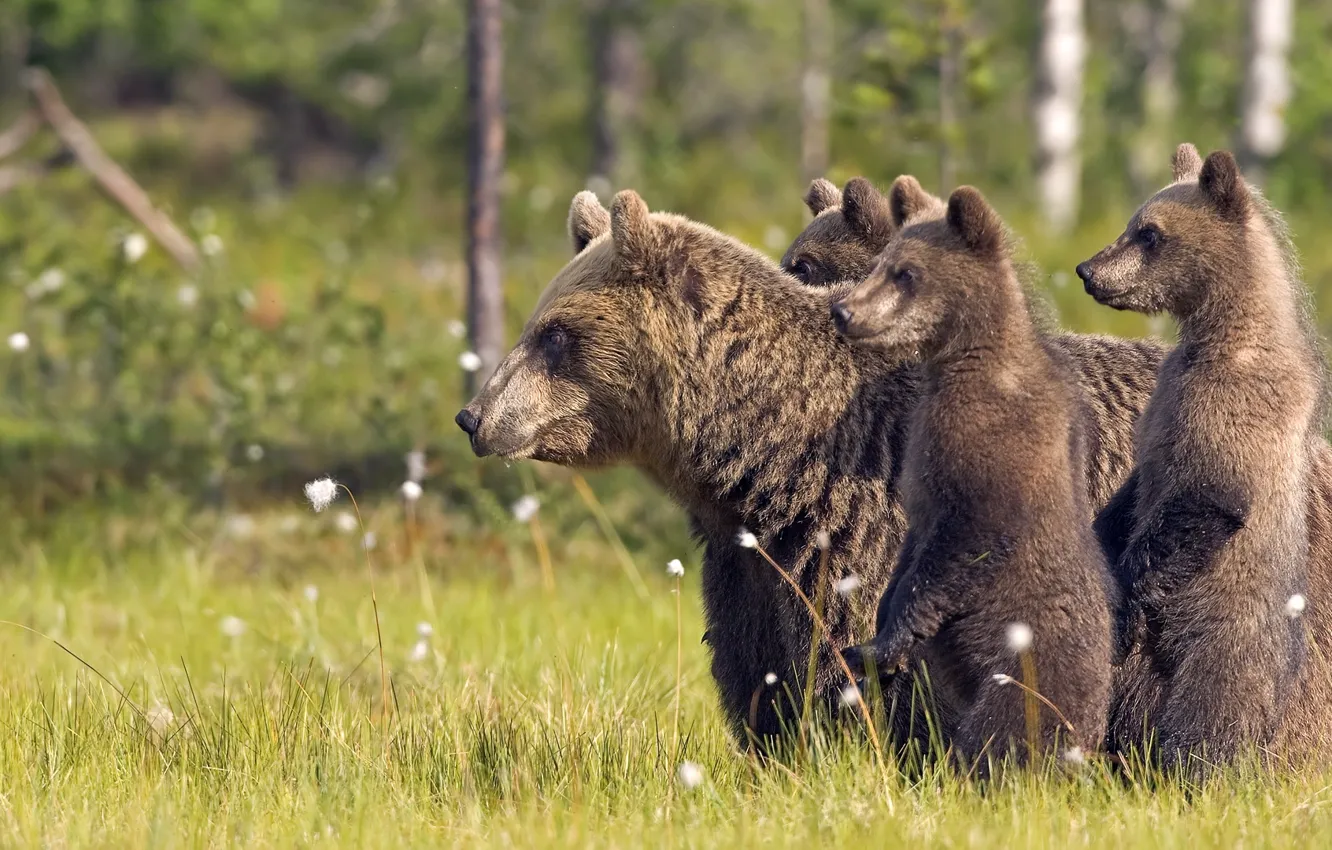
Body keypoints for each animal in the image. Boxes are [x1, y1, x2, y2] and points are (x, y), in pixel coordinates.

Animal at [458, 189, 921, 745]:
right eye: (535, 326)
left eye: (554, 335)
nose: (473, 417)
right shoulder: (746, 568)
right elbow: (755, 668)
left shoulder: (854, 525)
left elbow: (849, 649)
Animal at [839, 186, 1115, 771]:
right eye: (880, 263)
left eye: (906, 272)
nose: (843, 309)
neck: (962, 361)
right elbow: (912, 547)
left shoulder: (991, 450)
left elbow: (963, 544)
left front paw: (877, 645)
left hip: (1028, 672)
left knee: (1003, 735)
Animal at [1076, 145, 1330, 773]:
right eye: (1132, 223)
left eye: (1149, 232)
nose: (1088, 270)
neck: (1220, 334)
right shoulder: (1163, 404)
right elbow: (1132, 493)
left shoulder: (1232, 408)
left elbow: (1206, 499)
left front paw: (1124, 598)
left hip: (1223, 637)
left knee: (1208, 716)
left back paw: (1190, 766)